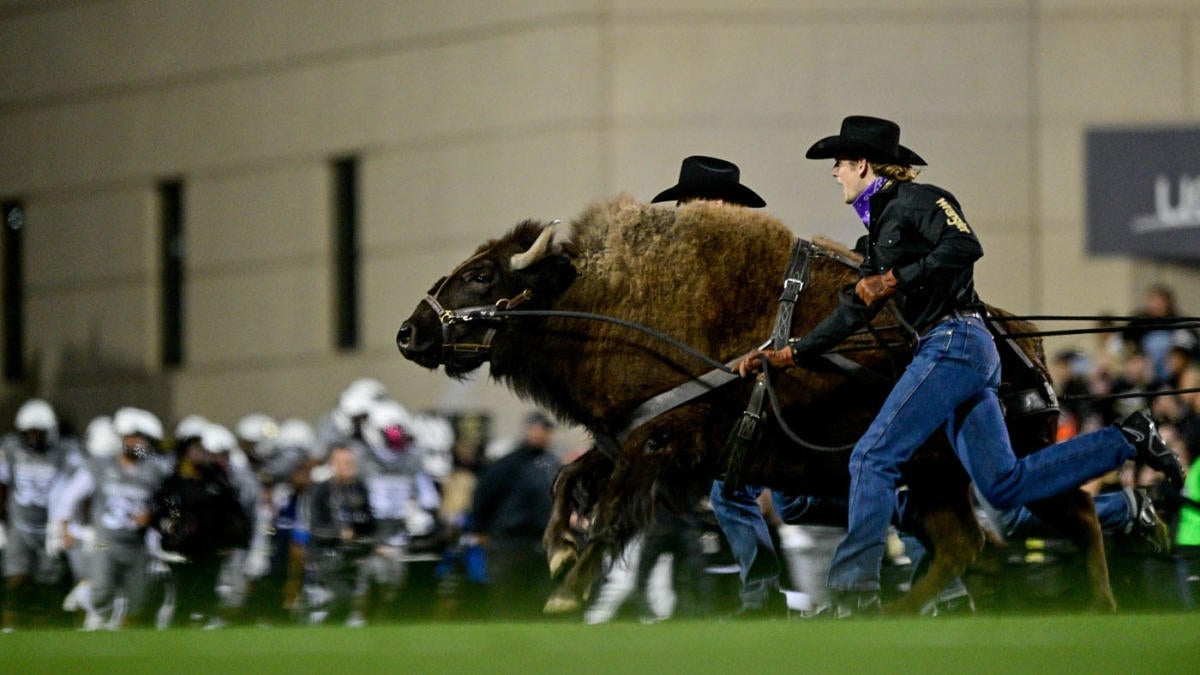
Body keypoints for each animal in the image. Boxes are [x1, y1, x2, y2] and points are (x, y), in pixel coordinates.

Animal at [396, 195, 1113, 614]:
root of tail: (1020, 337)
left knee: (1059, 511)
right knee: (977, 539)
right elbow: (565, 484)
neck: (604, 301)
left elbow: (606, 518)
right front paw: (557, 554)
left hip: (972, 465)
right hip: (942, 476)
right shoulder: (621, 441)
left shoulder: (652, 448)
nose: (410, 332)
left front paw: (565, 594)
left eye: (483, 274)